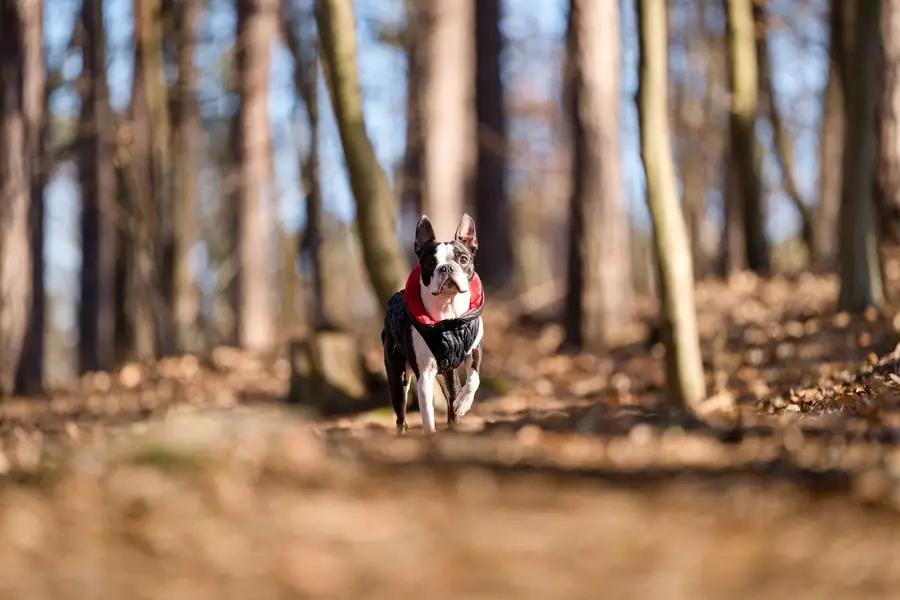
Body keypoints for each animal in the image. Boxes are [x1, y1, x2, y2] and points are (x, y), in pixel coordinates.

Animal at [382, 213, 486, 434]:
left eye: (463, 259)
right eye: (430, 262)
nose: (446, 267)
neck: (448, 316)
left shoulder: (475, 349)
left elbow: (474, 379)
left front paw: (464, 403)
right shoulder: (425, 375)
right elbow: (428, 414)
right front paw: (430, 435)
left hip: (448, 375)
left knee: (452, 401)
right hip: (398, 378)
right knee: (401, 417)